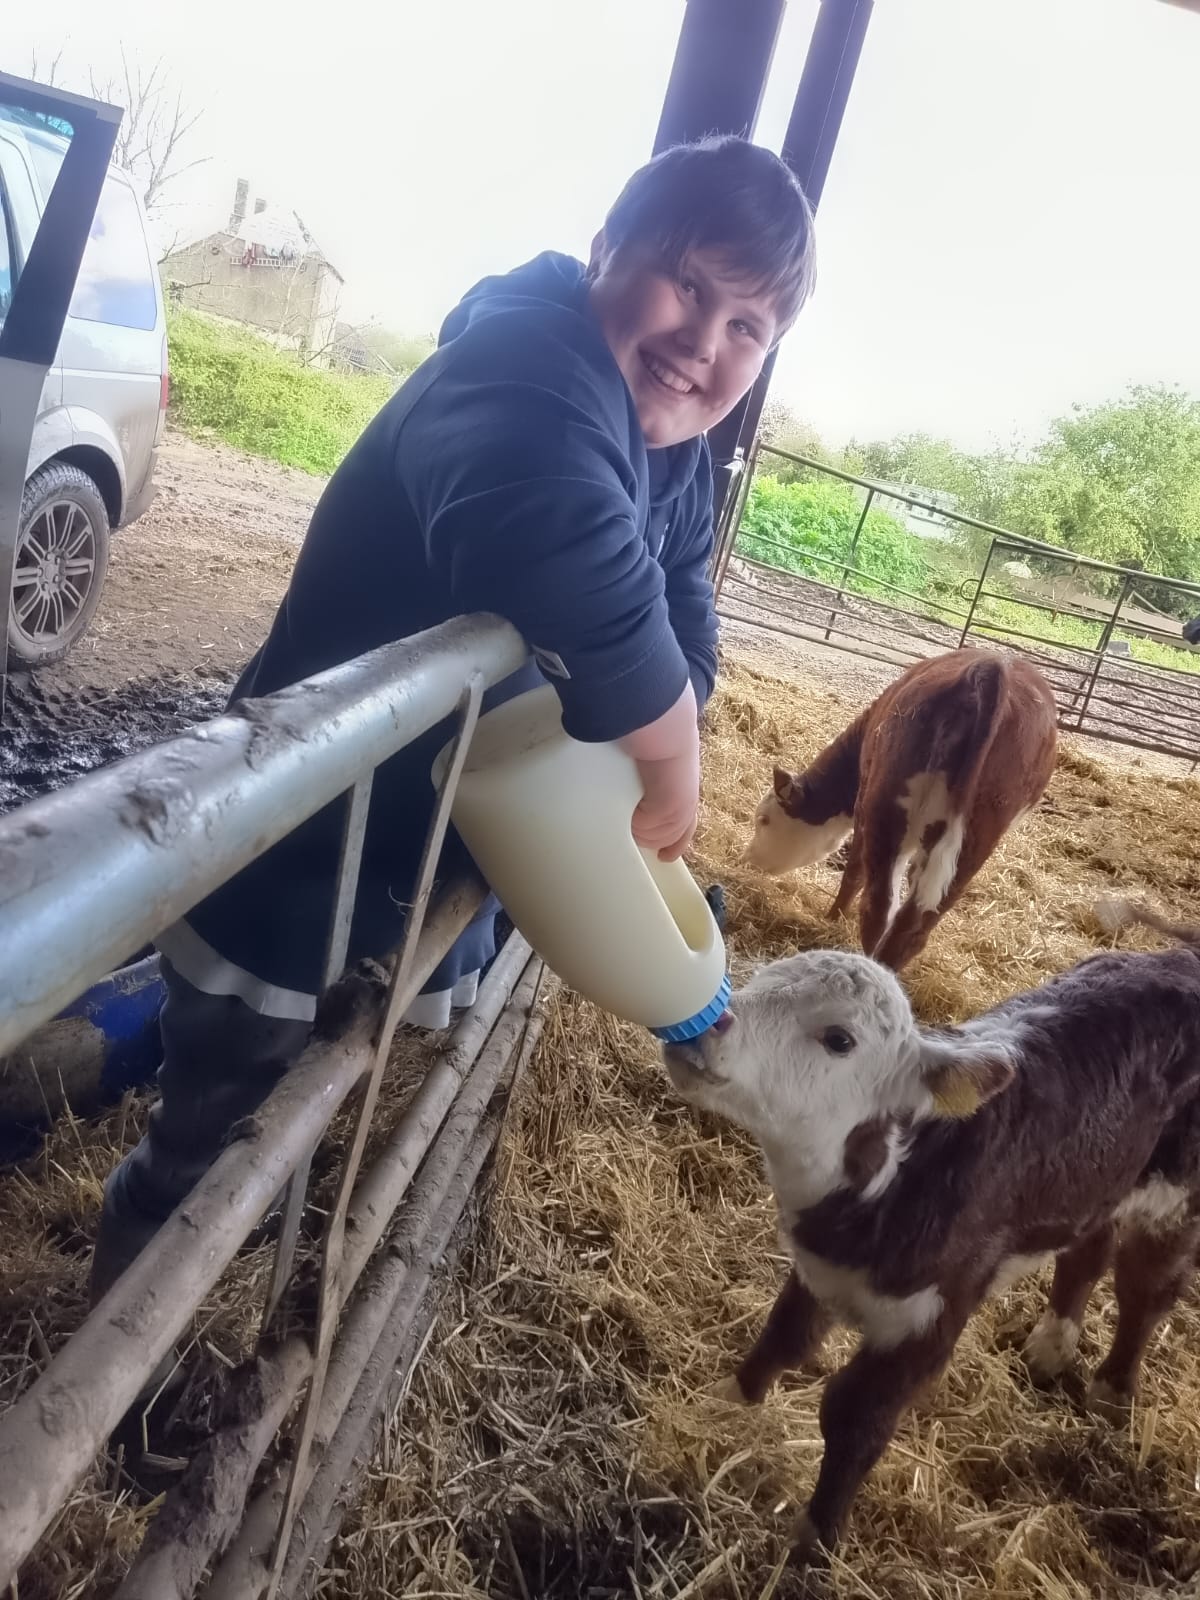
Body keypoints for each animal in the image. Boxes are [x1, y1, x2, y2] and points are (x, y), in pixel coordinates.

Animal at [660, 905, 1200, 1567]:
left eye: (840, 1039)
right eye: (760, 980)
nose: (701, 1028)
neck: (896, 1170)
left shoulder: (934, 1313)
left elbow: (855, 1415)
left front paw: (817, 1538)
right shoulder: (819, 1271)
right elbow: (785, 1337)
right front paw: (729, 1399)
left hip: (1176, 1195)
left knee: (1147, 1288)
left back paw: (1112, 1387)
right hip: (1098, 1172)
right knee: (1088, 1248)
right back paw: (1052, 1345)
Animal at [743, 649, 1058, 971]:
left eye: (763, 820)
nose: (746, 859)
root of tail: (990, 669)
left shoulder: (864, 805)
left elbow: (854, 872)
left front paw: (831, 919)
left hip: (887, 811)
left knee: (878, 907)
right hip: (976, 838)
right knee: (913, 925)